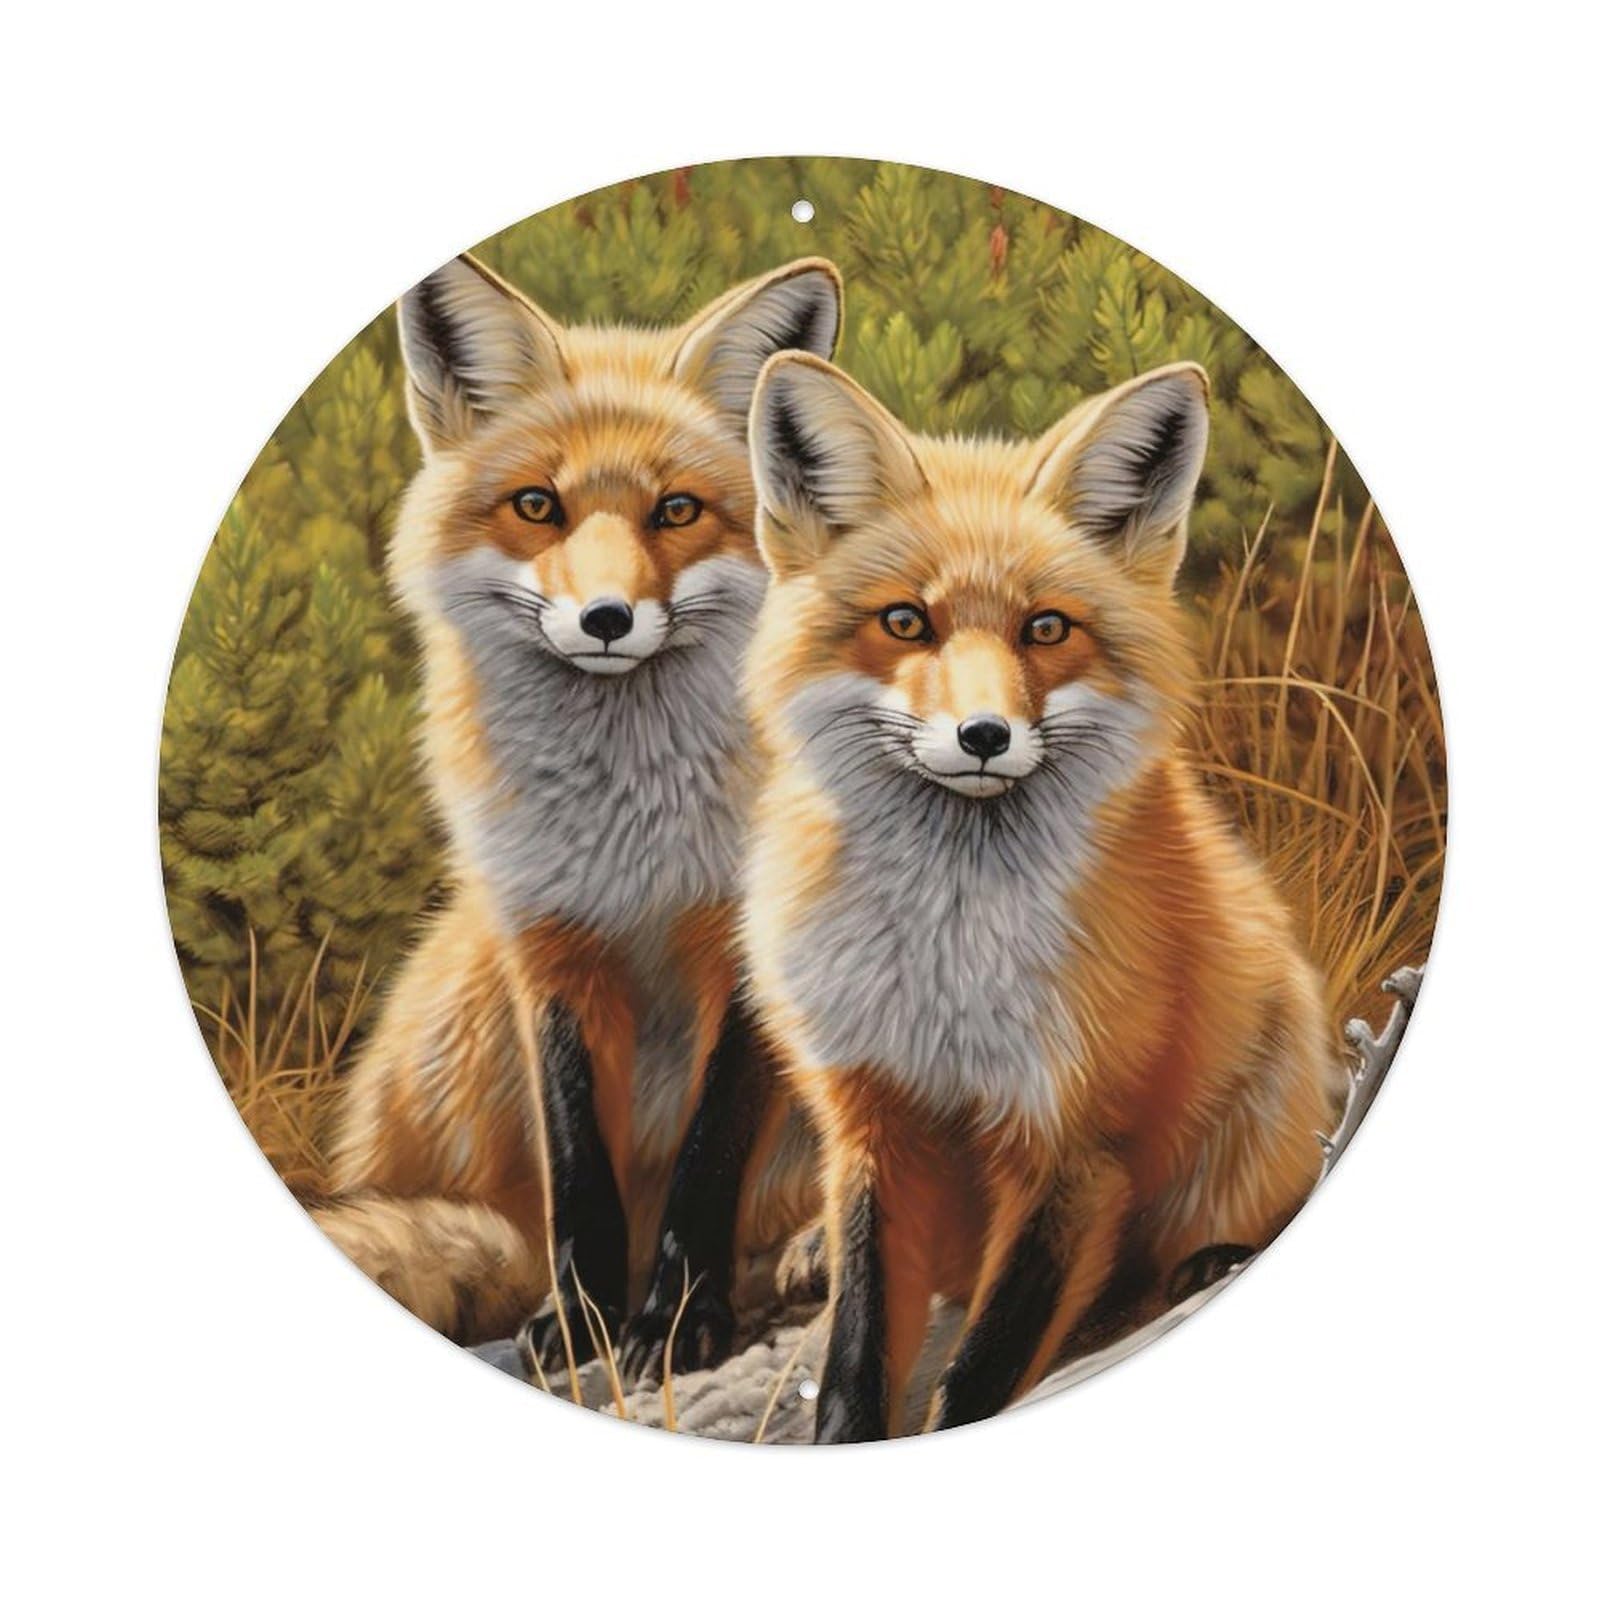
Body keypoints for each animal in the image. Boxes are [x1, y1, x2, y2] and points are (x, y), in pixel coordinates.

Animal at [316, 253, 840, 1377]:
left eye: (676, 511)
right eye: (536, 505)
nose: (606, 619)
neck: (626, 832)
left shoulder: (744, 954)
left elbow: (708, 1157)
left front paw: (676, 1322)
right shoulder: (544, 940)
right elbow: (576, 1163)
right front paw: (586, 1318)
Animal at [740, 350, 1345, 1441]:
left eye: (1046, 627)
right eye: (906, 621)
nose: (984, 735)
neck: (946, 968)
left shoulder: (1075, 1149)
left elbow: (976, 1374)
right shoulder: (873, 1126)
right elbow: (856, 1358)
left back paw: (1209, 1260)